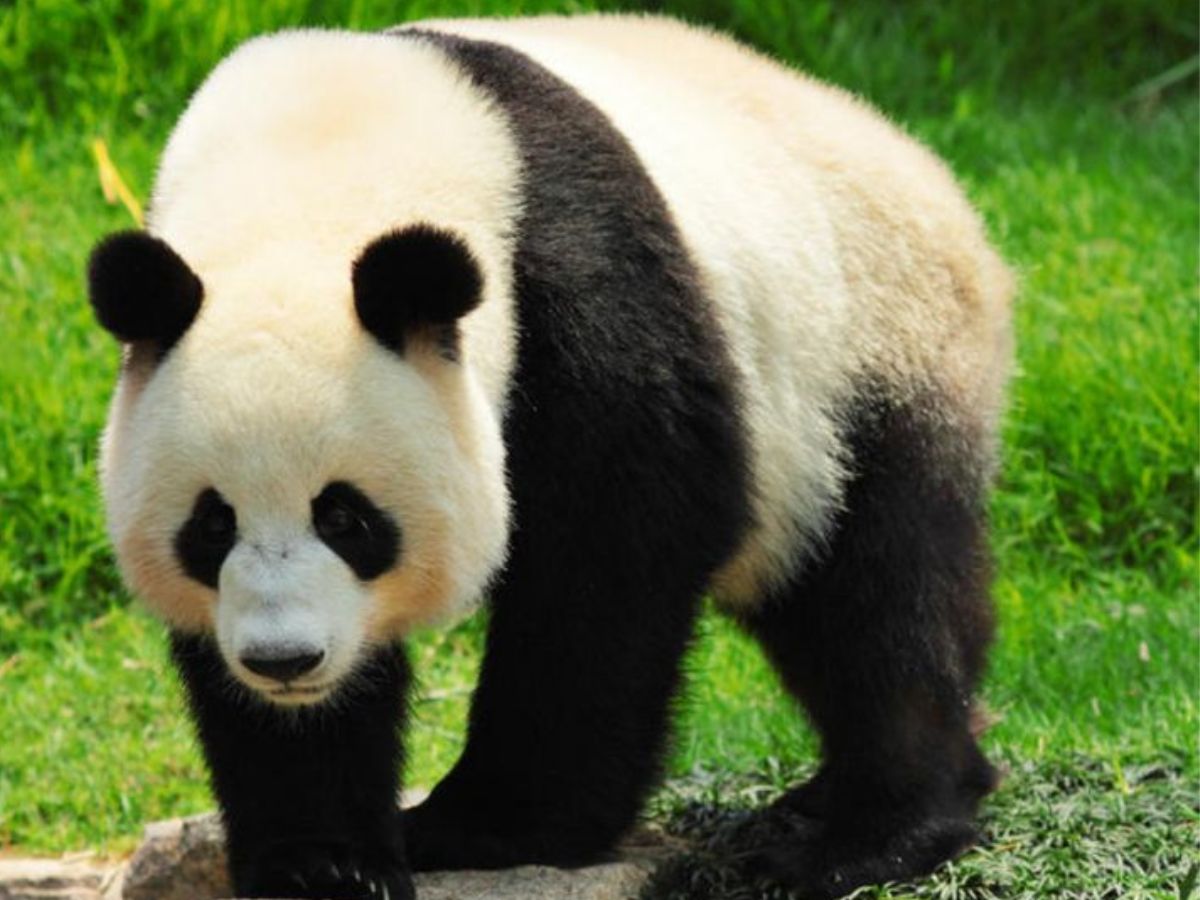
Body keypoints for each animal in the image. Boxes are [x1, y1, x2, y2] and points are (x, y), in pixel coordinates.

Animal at [87, 14, 1013, 900]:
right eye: (211, 526)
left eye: (346, 516)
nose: (284, 661)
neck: (313, 166)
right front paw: (322, 861)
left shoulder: (579, 288)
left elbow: (611, 553)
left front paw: (489, 827)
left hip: (866, 355)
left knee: (877, 592)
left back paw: (862, 834)